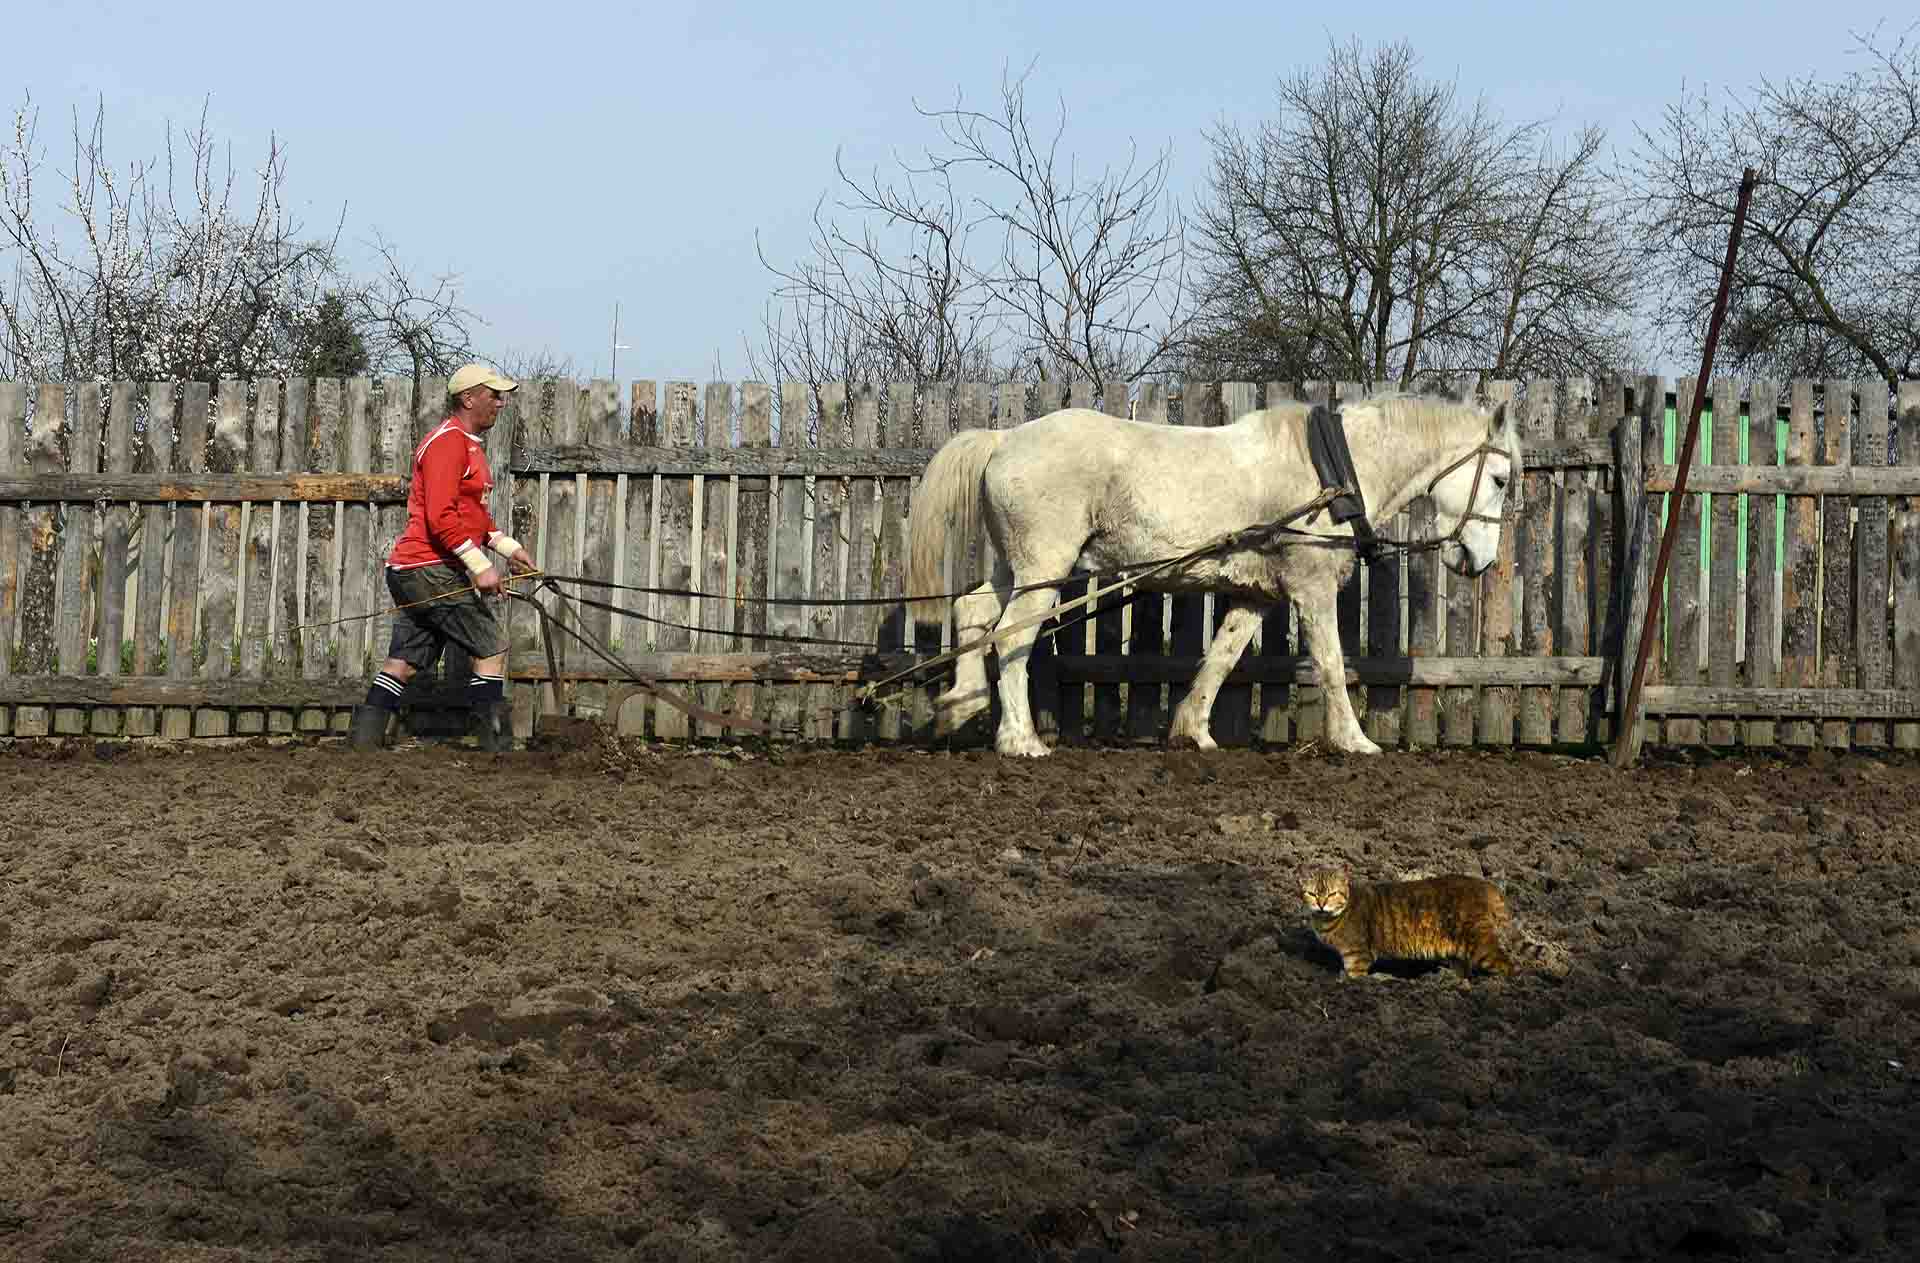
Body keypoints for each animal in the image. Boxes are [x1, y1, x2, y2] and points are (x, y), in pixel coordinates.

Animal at [906, 387, 1520, 752]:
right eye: (1499, 479)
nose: (1480, 560)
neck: (1335, 471)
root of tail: (1004, 438)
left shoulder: (1259, 594)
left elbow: (1221, 658)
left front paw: (1193, 730)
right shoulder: (1313, 584)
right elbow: (1329, 663)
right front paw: (1354, 739)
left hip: (1018, 567)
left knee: (975, 611)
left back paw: (961, 703)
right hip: (1046, 566)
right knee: (1014, 637)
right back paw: (1020, 738)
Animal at [1305, 867, 1512, 975]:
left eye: (1332, 894)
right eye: (1312, 894)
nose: (1321, 904)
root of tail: (1482, 883)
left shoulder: (1357, 956)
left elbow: (1354, 976)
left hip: (1479, 941)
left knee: (1508, 964)